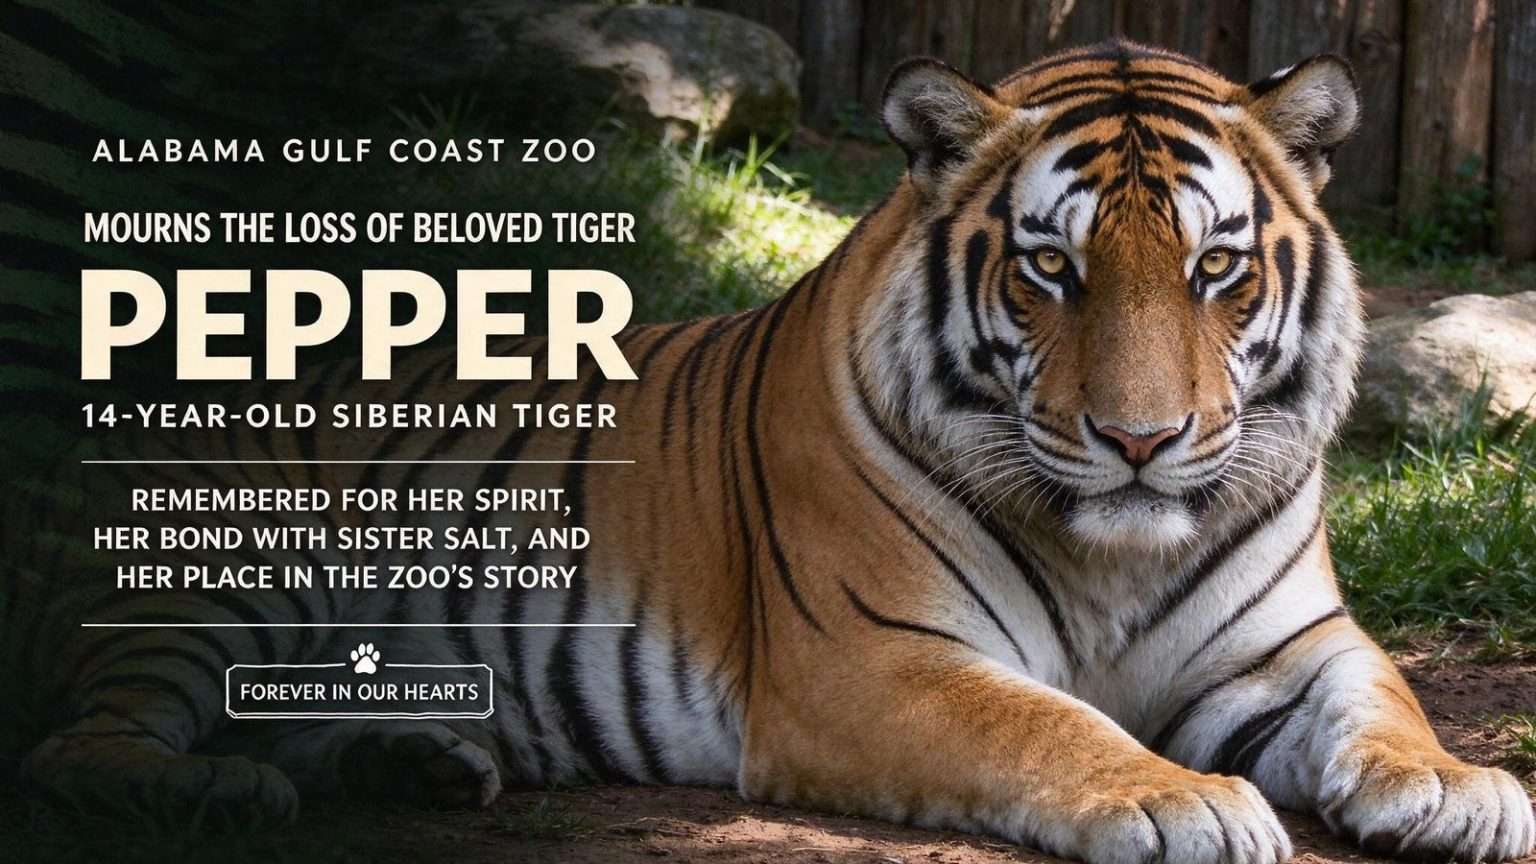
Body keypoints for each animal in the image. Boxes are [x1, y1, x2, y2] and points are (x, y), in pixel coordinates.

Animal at [6, 39, 1534, 864]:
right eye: (1053, 268)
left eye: (1218, 268)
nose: (1143, 441)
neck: (1119, 557)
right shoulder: (871, 659)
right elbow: (1049, 722)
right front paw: (1181, 801)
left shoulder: (1292, 648)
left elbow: (1391, 704)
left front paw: (1461, 791)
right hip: (220, 577)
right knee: (81, 746)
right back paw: (227, 785)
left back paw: (420, 763)